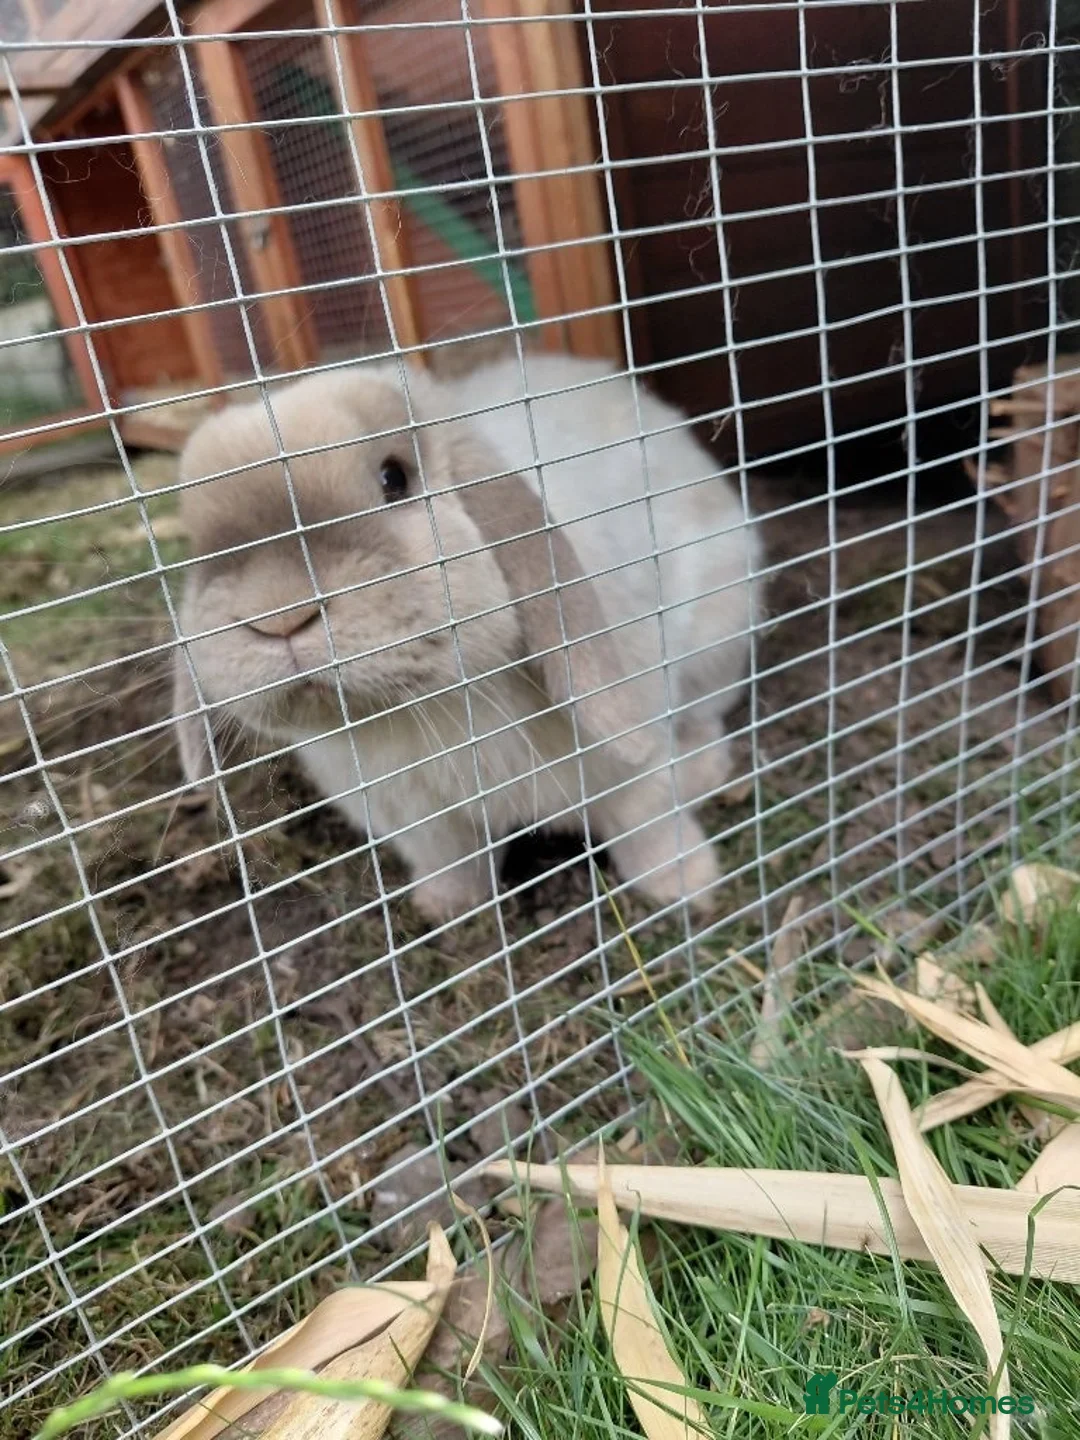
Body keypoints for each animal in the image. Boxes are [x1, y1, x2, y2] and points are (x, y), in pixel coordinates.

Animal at [171, 352, 760, 923]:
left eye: (394, 478)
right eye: (200, 543)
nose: (279, 618)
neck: (440, 711)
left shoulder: (633, 767)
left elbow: (651, 827)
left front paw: (688, 887)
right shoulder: (422, 824)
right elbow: (452, 862)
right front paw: (446, 908)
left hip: (719, 640)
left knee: (705, 719)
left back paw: (705, 771)